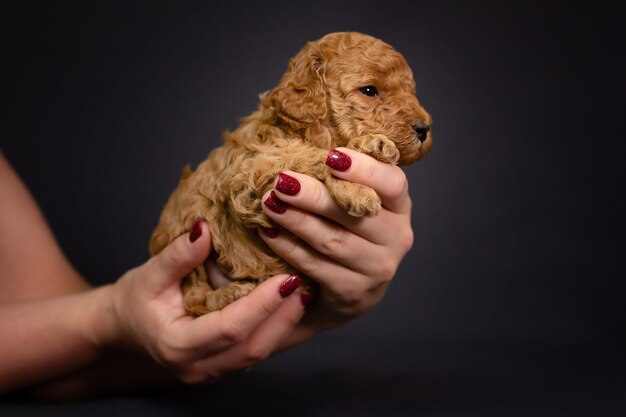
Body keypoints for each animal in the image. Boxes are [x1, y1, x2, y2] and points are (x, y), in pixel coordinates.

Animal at [148, 30, 428, 314]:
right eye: (369, 90)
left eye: (411, 91)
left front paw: (373, 146)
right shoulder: (247, 175)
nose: (424, 129)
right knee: (194, 299)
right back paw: (232, 294)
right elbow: (302, 156)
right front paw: (357, 184)